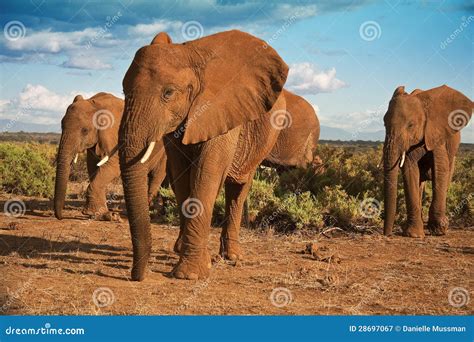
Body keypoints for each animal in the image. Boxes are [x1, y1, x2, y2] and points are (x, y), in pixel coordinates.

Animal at [54, 92, 168, 220]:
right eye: (61, 126)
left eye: (85, 130)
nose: (60, 217)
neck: (96, 103)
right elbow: (93, 166)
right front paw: (103, 214)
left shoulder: (116, 135)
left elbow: (113, 166)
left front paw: (99, 214)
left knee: (157, 175)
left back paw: (152, 211)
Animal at [118, 30, 288, 280]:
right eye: (123, 91)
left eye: (168, 93)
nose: (136, 276)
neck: (190, 53)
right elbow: (181, 177)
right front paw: (188, 258)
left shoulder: (221, 110)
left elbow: (207, 174)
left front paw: (189, 275)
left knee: (238, 188)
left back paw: (231, 256)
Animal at [384, 85, 472, 238]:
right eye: (384, 123)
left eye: (411, 125)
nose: (387, 234)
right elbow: (409, 170)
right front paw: (414, 235)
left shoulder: (437, 133)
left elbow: (441, 169)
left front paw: (439, 230)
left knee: (447, 176)